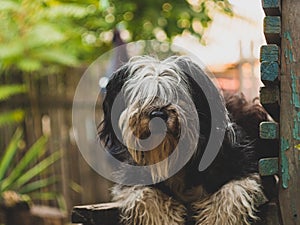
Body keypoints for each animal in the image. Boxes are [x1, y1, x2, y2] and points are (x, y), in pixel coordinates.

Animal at [99, 55, 268, 225]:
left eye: (176, 94)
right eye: (142, 96)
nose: (158, 115)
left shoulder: (243, 169)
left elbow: (229, 196)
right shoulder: (133, 177)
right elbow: (145, 196)